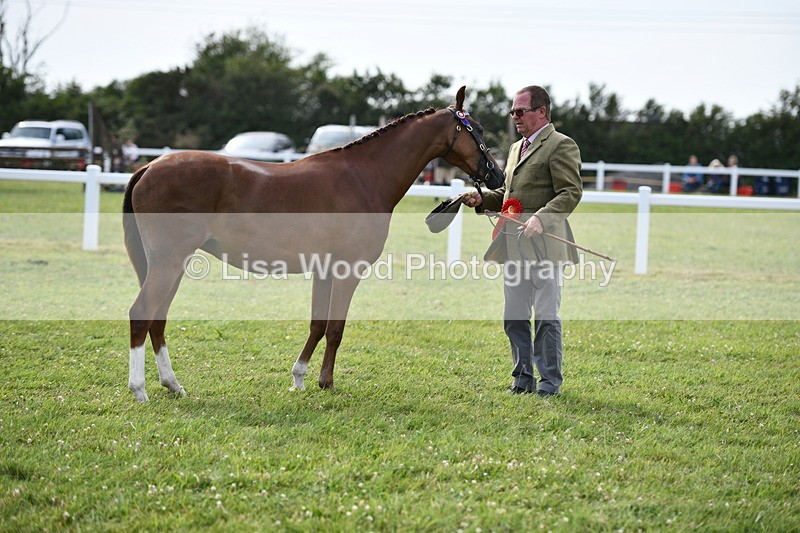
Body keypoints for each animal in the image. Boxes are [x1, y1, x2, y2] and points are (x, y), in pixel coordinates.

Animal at [122, 86, 503, 402]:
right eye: (478, 129)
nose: (496, 175)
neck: (363, 177)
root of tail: (149, 167)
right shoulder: (347, 269)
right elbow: (335, 328)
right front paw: (326, 382)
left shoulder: (325, 269)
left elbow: (317, 324)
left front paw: (299, 377)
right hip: (168, 263)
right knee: (142, 314)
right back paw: (139, 390)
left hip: (170, 266)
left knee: (158, 319)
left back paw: (173, 385)